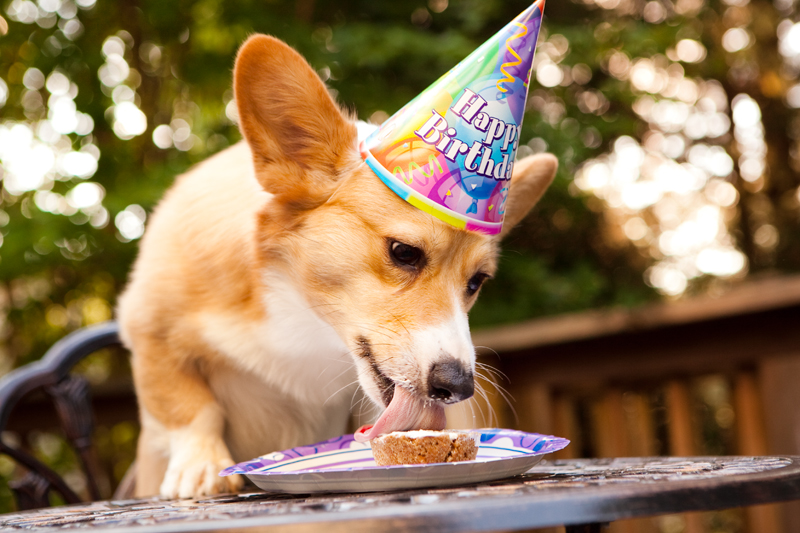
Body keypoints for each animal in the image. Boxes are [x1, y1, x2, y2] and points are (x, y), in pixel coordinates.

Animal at [117, 34, 556, 498]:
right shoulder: (151, 333)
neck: (302, 309)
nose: (458, 388)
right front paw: (201, 468)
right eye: (403, 252)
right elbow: (190, 409)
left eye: (477, 281)